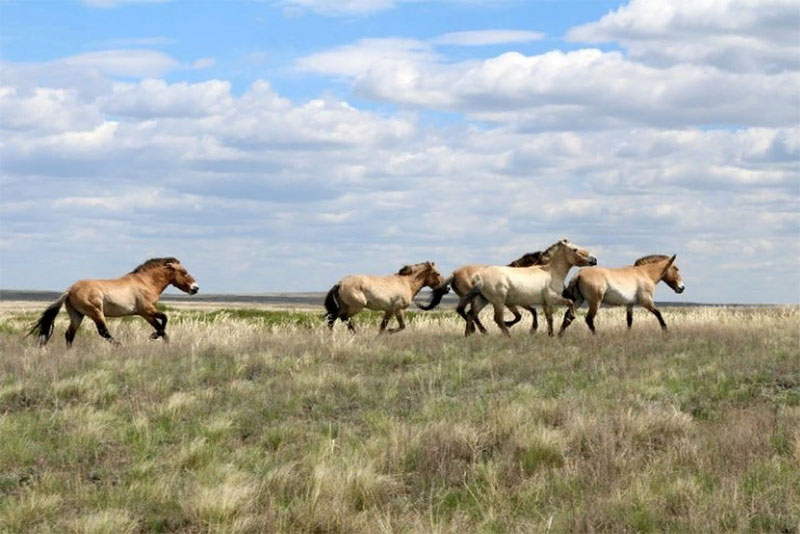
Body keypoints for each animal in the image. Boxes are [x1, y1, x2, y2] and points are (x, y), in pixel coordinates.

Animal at [30, 258, 200, 348]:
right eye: (184, 272)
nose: (195, 288)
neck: (145, 282)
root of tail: (70, 290)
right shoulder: (147, 310)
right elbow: (164, 319)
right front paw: (153, 336)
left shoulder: (146, 314)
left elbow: (161, 327)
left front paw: (163, 341)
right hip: (96, 312)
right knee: (103, 332)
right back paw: (120, 346)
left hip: (77, 315)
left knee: (69, 334)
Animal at [416, 252, 548, 336]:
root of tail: (455, 273)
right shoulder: (513, 302)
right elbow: (526, 314)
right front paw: (529, 328)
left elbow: (523, 314)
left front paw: (509, 324)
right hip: (472, 296)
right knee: (469, 312)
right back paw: (480, 330)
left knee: (464, 311)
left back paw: (474, 330)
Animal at [460, 240, 596, 338]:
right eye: (575, 249)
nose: (594, 260)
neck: (551, 273)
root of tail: (479, 277)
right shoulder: (553, 298)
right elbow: (570, 302)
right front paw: (570, 317)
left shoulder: (546, 303)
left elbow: (549, 319)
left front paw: (551, 335)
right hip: (498, 302)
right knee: (497, 319)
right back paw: (509, 336)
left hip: (482, 299)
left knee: (471, 314)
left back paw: (468, 336)